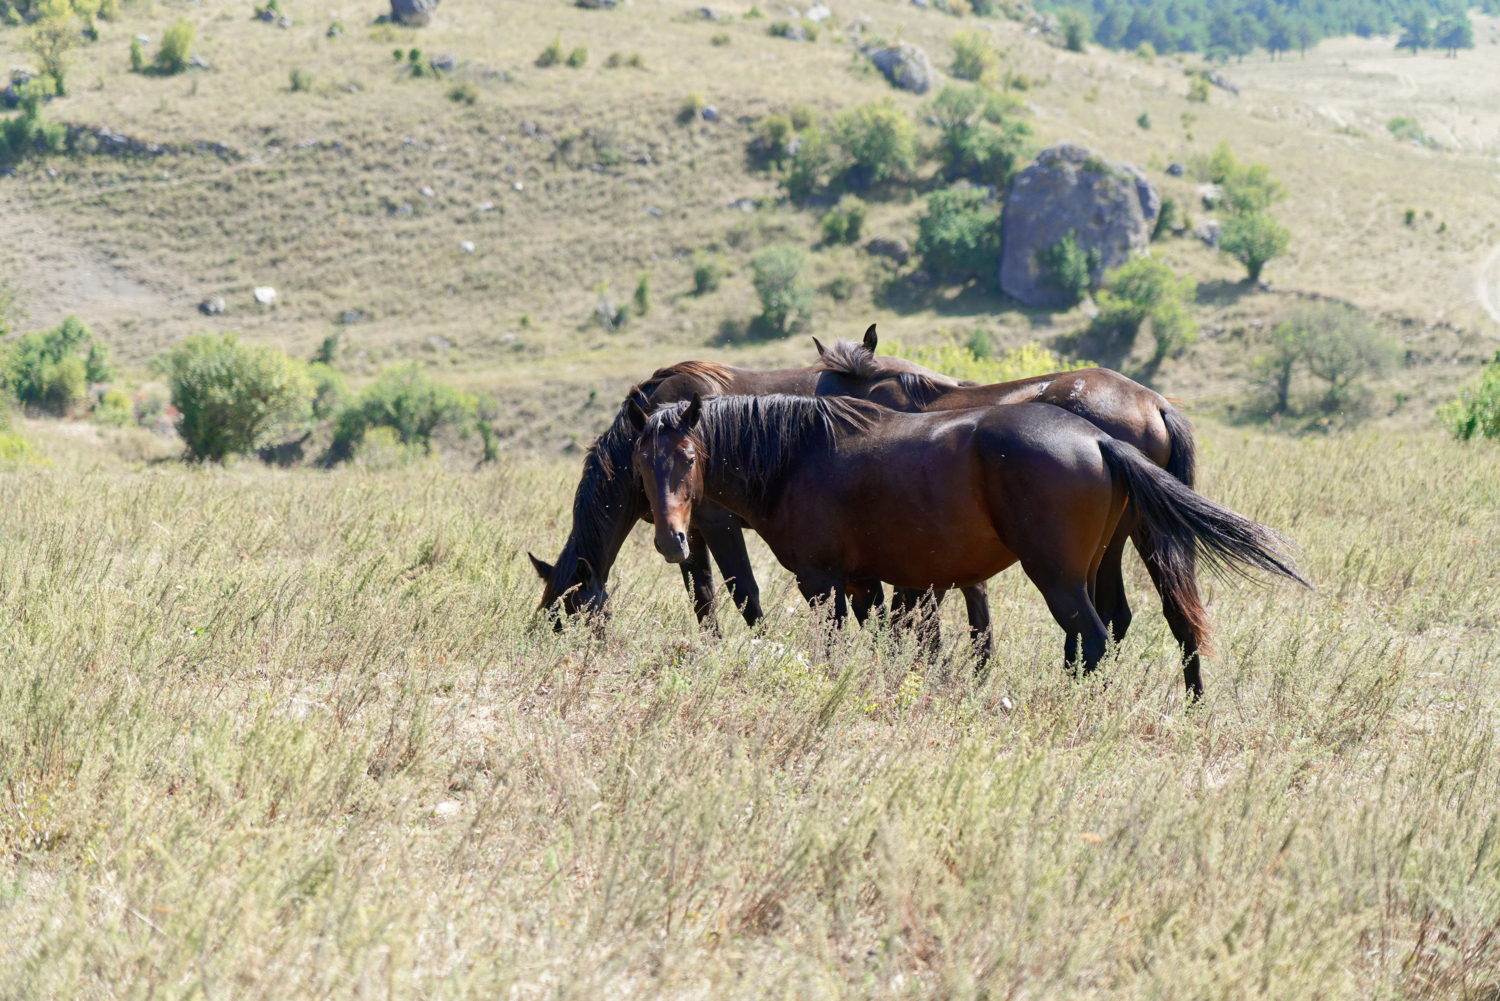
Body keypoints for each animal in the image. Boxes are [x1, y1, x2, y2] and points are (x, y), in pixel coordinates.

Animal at [627, 396, 1308, 702]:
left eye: (688, 458)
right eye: (640, 461)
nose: (671, 540)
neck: (797, 455)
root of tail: (1097, 438)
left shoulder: (823, 581)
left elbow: (836, 647)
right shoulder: (872, 581)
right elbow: (895, 641)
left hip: (1056, 574)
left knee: (1092, 637)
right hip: (1091, 567)